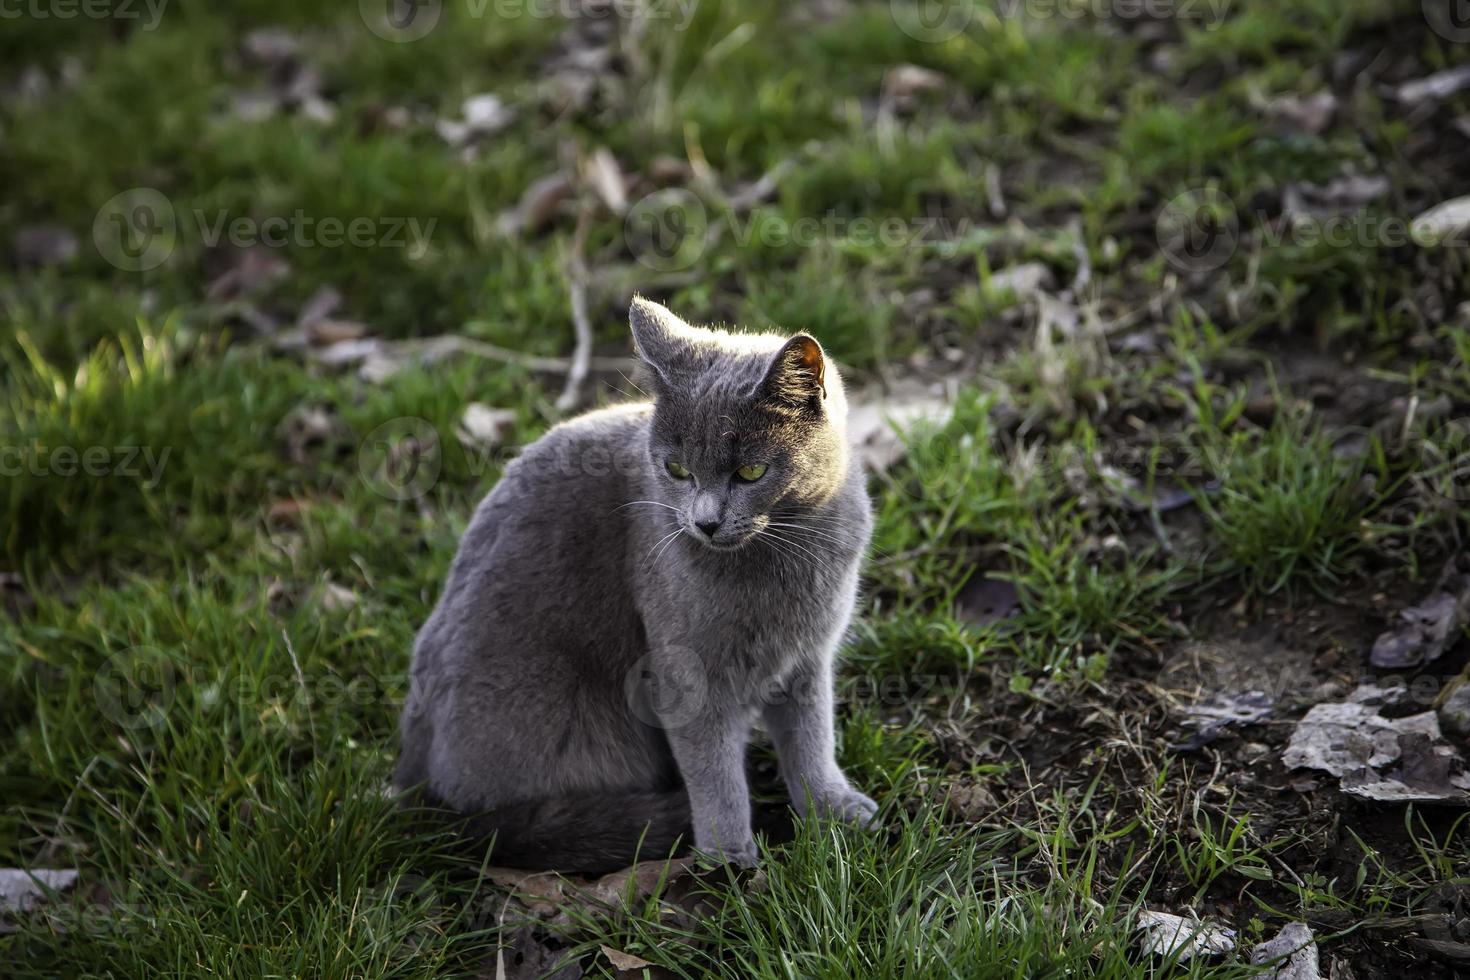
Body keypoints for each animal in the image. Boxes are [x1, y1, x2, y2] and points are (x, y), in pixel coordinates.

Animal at [393, 295, 870, 869]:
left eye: (751, 472)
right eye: (677, 469)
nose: (705, 523)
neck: (784, 556)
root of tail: (420, 799)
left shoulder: (808, 658)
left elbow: (812, 739)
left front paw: (833, 812)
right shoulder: (687, 673)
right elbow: (714, 772)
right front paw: (729, 860)